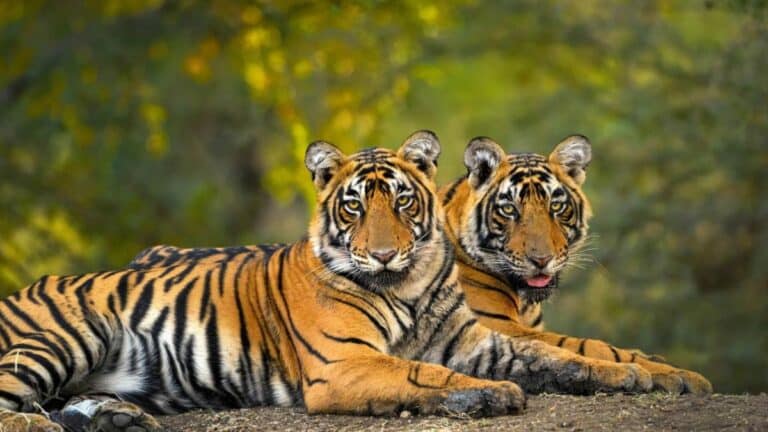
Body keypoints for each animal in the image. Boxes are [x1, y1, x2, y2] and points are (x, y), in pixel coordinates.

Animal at [0, 131, 656, 432]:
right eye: (354, 207)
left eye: (401, 201)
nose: (386, 254)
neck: (407, 284)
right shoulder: (344, 363)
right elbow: (419, 372)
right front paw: (490, 395)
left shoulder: (478, 341)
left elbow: (562, 355)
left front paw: (635, 374)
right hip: (63, 336)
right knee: (13, 403)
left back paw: (114, 418)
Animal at [440, 134, 713, 394]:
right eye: (508, 209)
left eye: (556, 206)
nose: (541, 259)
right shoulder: (494, 324)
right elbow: (590, 346)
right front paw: (677, 374)